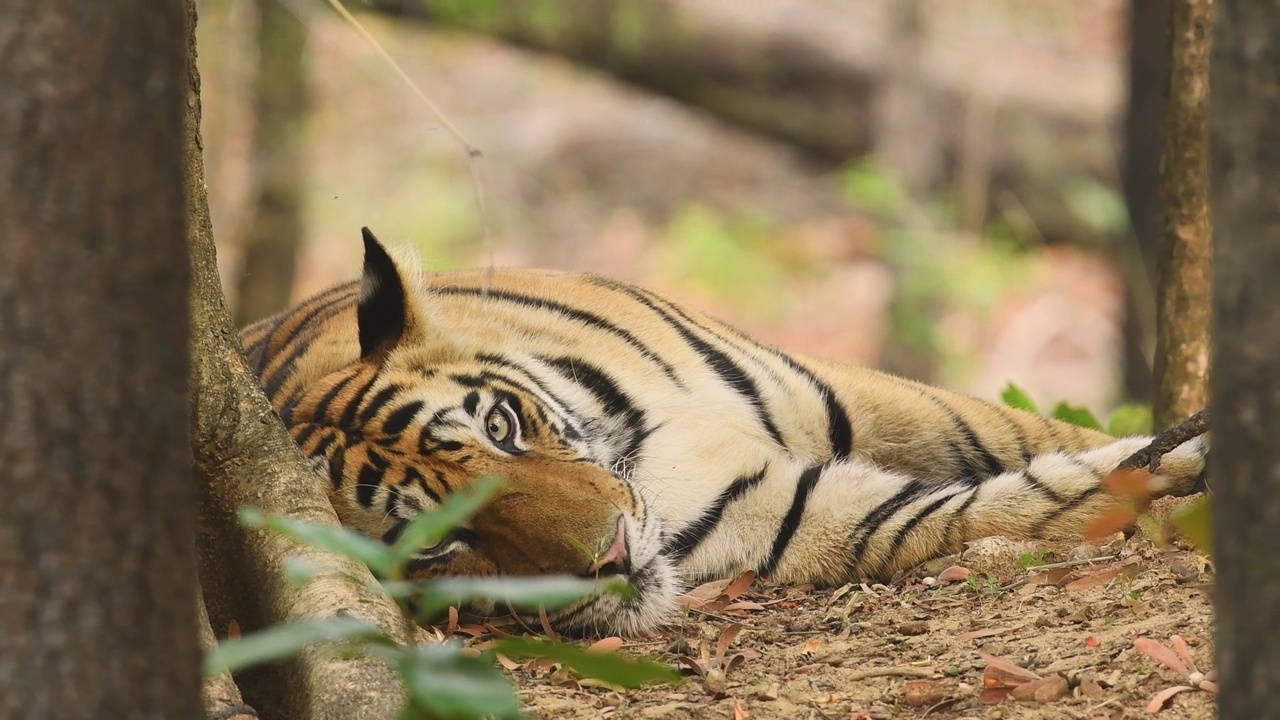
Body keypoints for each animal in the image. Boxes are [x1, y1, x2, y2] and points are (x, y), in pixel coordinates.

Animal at [240, 226, 1208, 630]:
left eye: (503, 426)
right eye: (439, 546)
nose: (612, 555)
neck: (637, 444)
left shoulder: (847, 391)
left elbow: (1013, 431)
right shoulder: (786, 512)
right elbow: (984, 508)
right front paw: (1172, 469)